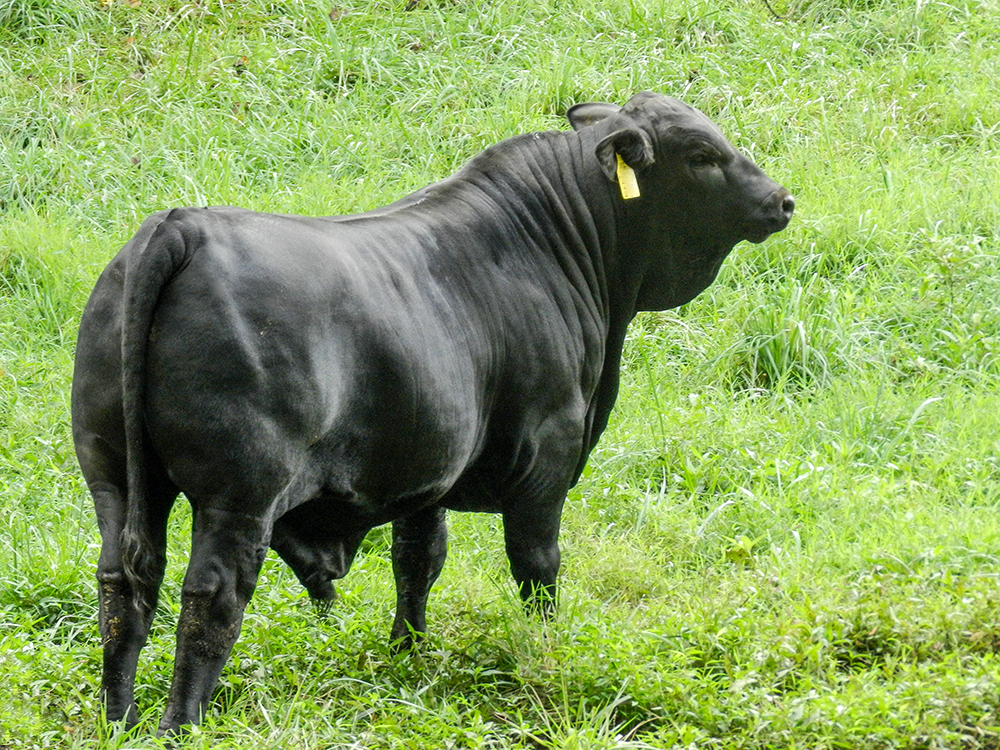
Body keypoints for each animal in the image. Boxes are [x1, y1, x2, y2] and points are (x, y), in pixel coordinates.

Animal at [70, 92, 792, 736]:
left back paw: (119, 718)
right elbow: (538, 568)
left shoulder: (423, 472)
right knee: (211, 598)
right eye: (702, 153)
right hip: (238, 496)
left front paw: (408, 656)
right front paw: (547, 652)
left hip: (114, 477)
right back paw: (178, 724)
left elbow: (417, 562)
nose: (781, 200)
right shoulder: (548, 457)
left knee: (121, 586)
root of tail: (180, 225)